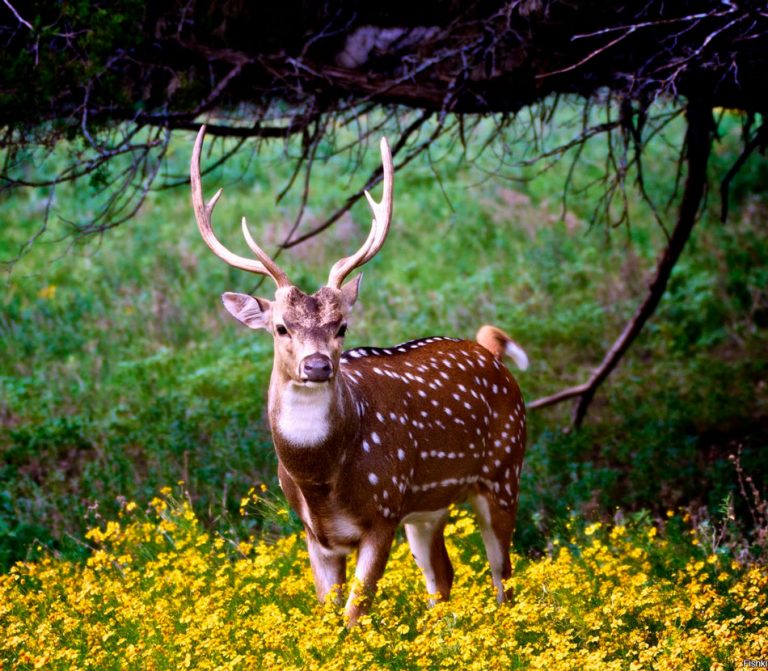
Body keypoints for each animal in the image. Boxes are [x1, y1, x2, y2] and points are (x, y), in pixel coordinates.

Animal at [192, 126, 528, 624]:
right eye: (280, 327)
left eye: (342, 326)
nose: (317, 365)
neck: (321, 479)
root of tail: (488, 350)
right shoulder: (315, 534)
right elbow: (330, 614)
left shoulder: (382, 511)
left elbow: (354, 613)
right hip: (427, 506)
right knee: (443, 575)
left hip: (504, 470)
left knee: (503, 574)